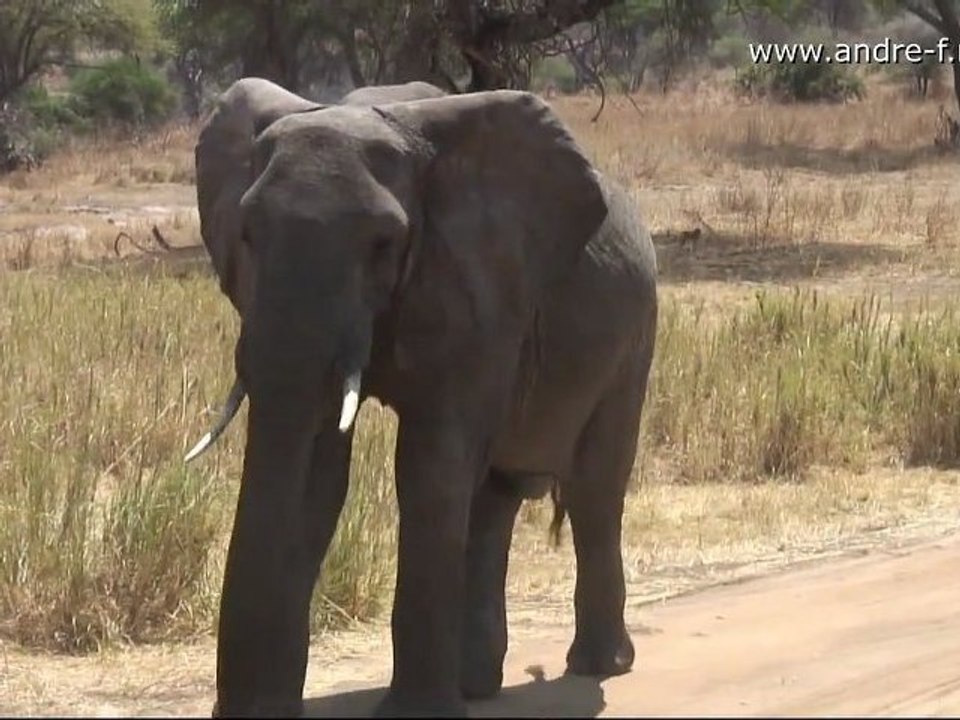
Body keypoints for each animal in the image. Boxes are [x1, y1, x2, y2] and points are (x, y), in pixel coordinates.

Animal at [186, 76, 660, 716]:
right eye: (246, 235)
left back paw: (598, 664)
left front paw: (415, 713)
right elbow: (318, 472)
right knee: (493, 501)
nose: (232, 710)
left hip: (634, 335)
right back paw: (477, 685)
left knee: (594, 490)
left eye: (383, 243)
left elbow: (428, 465)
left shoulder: (473, 282)